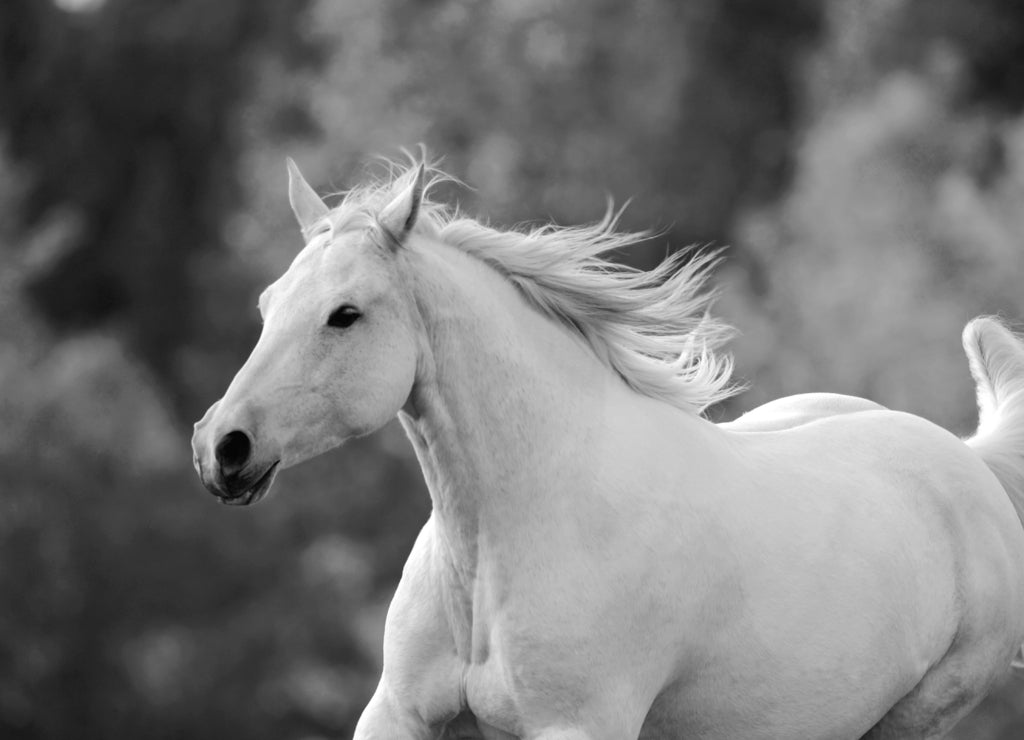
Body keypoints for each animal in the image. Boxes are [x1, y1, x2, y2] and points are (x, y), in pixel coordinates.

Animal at [193, 157, 1024, 740]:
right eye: (269, 303)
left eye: (346, 314)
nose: (222, 448)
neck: (505, 539)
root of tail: (968, 460)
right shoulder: (399, 714)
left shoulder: (579, 723)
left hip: (919, 712)